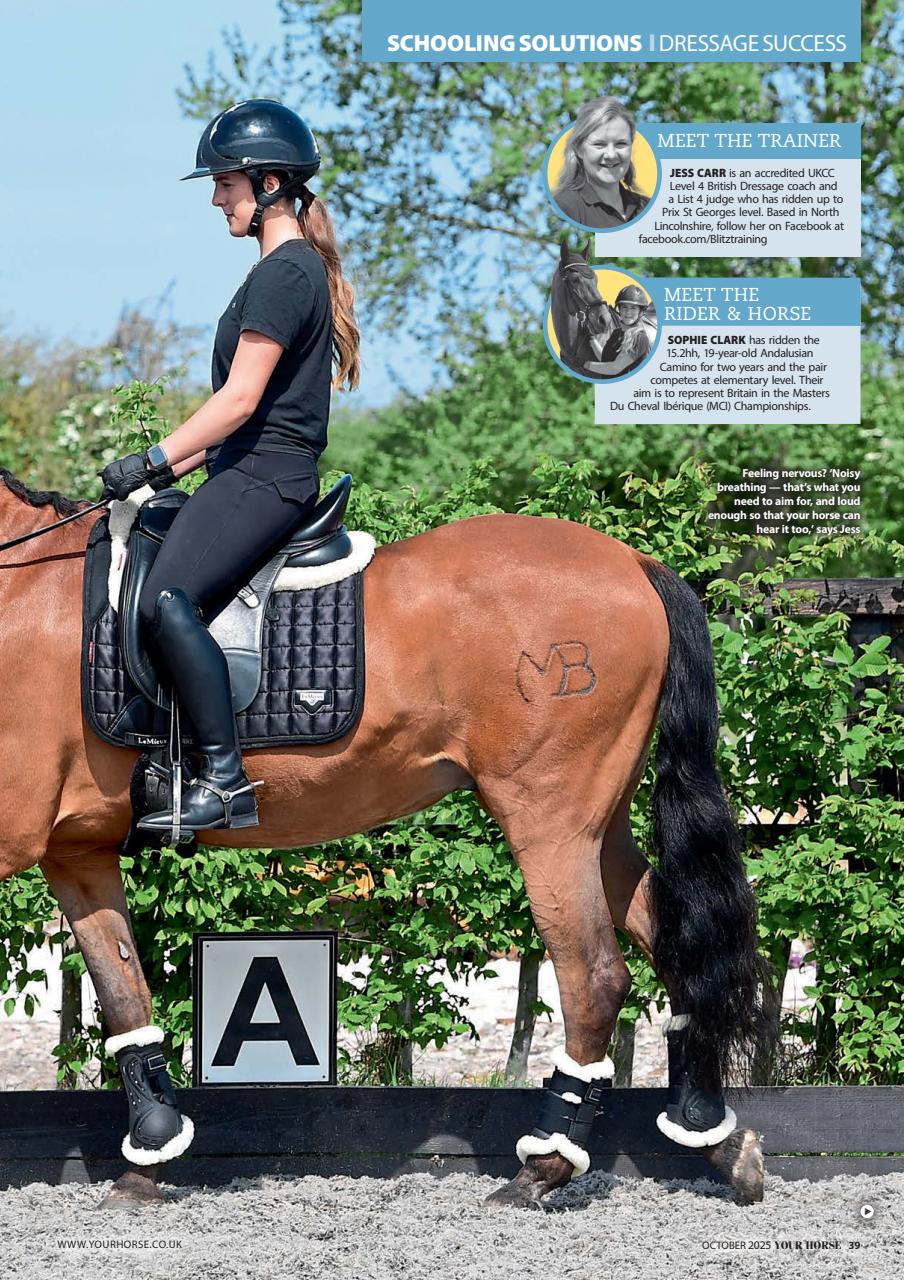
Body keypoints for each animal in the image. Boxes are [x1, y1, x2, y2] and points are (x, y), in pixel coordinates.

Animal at [0, 466, 776, 1210]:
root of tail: (633, 561)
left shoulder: (16, 841)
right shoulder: (76, 853)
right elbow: (124, 994)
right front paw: (150, 1160)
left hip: (549, 822)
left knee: (595, 977)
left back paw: (543, 1169)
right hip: (597, 827)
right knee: (672, 943)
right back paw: (716, 1138)